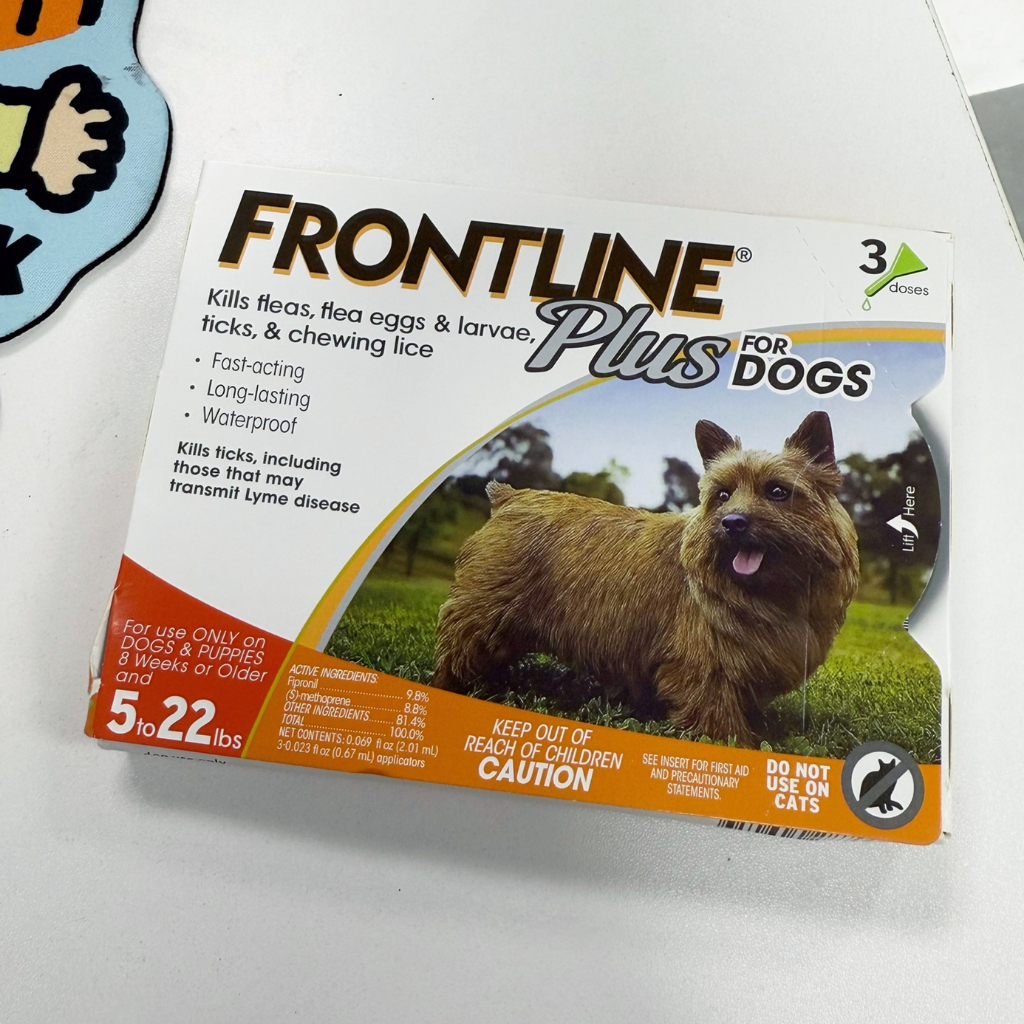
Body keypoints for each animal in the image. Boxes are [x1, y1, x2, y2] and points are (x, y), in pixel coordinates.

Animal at [431, 411, 859, 746]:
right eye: (722, 494)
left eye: (778, 491)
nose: (732, 523)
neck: (767, 593)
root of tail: (510, 497)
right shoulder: (705, 668)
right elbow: (716, 719)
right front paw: (736, 744)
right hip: (481, 617)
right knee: (457, 654)